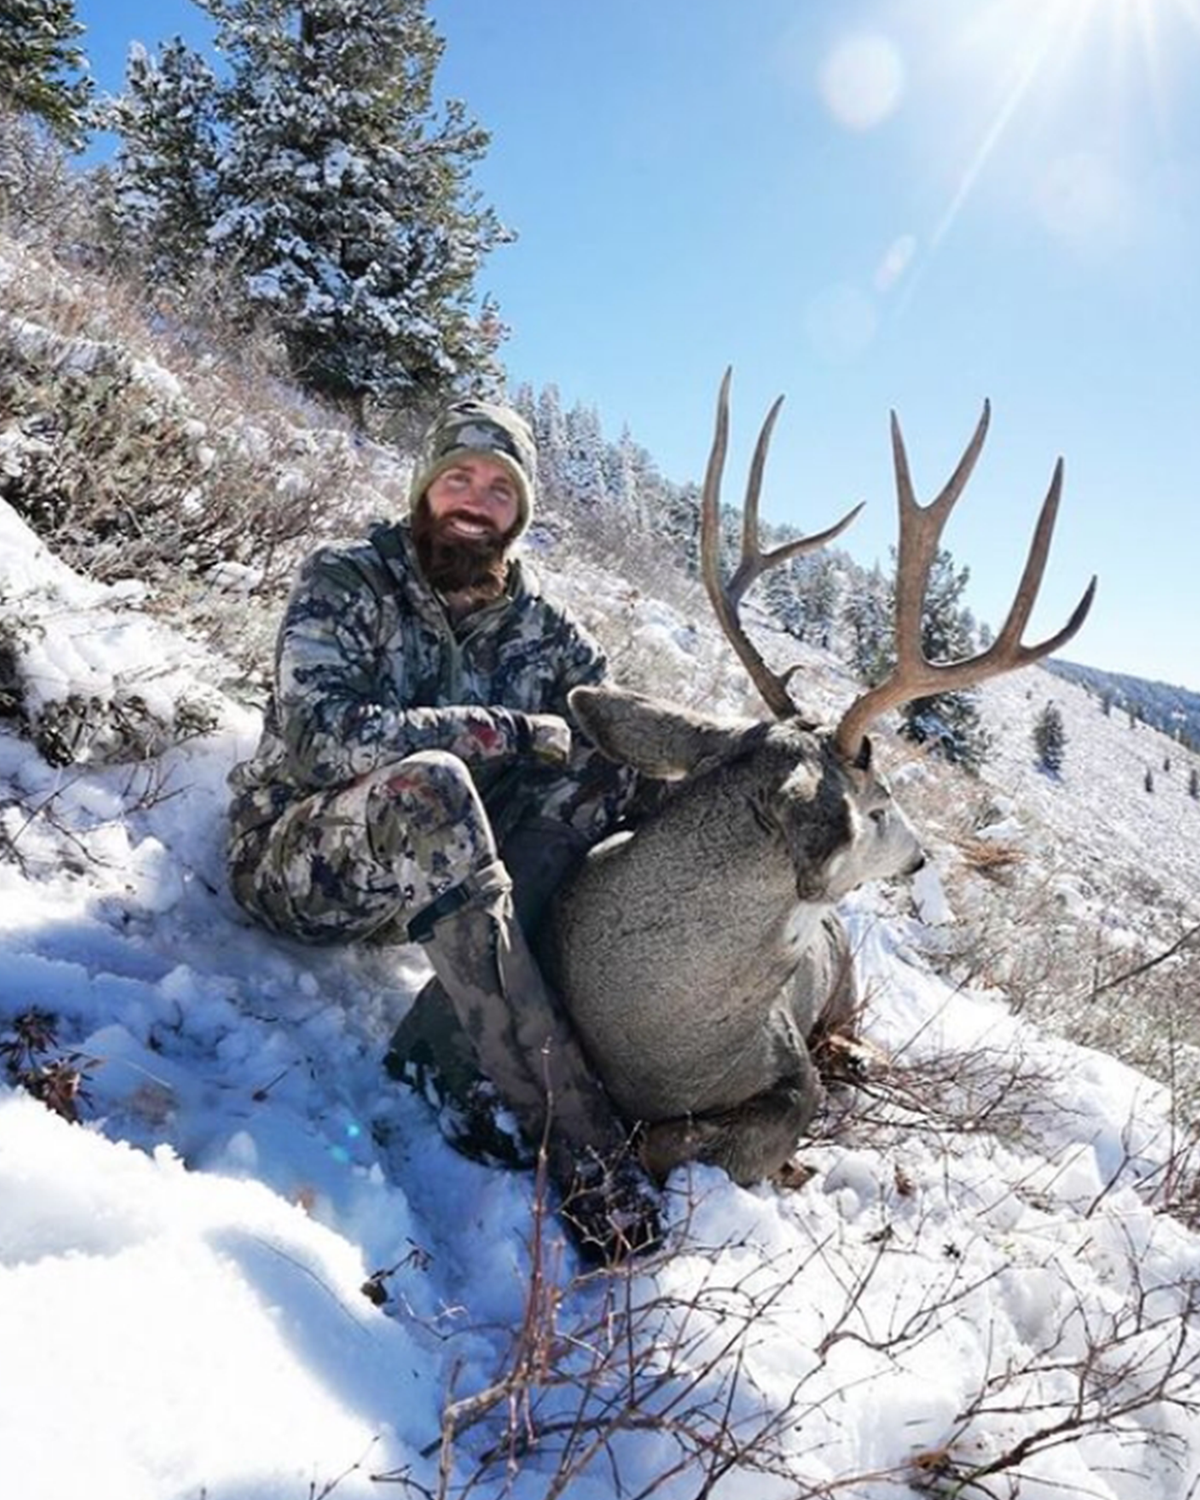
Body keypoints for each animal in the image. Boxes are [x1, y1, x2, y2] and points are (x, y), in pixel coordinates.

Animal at [545, 370, 1096, 1186]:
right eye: (880, 804)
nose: (921, 856)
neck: (660, 1039)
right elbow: (661, 1139)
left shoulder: (790, 1065)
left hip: (845, 985)